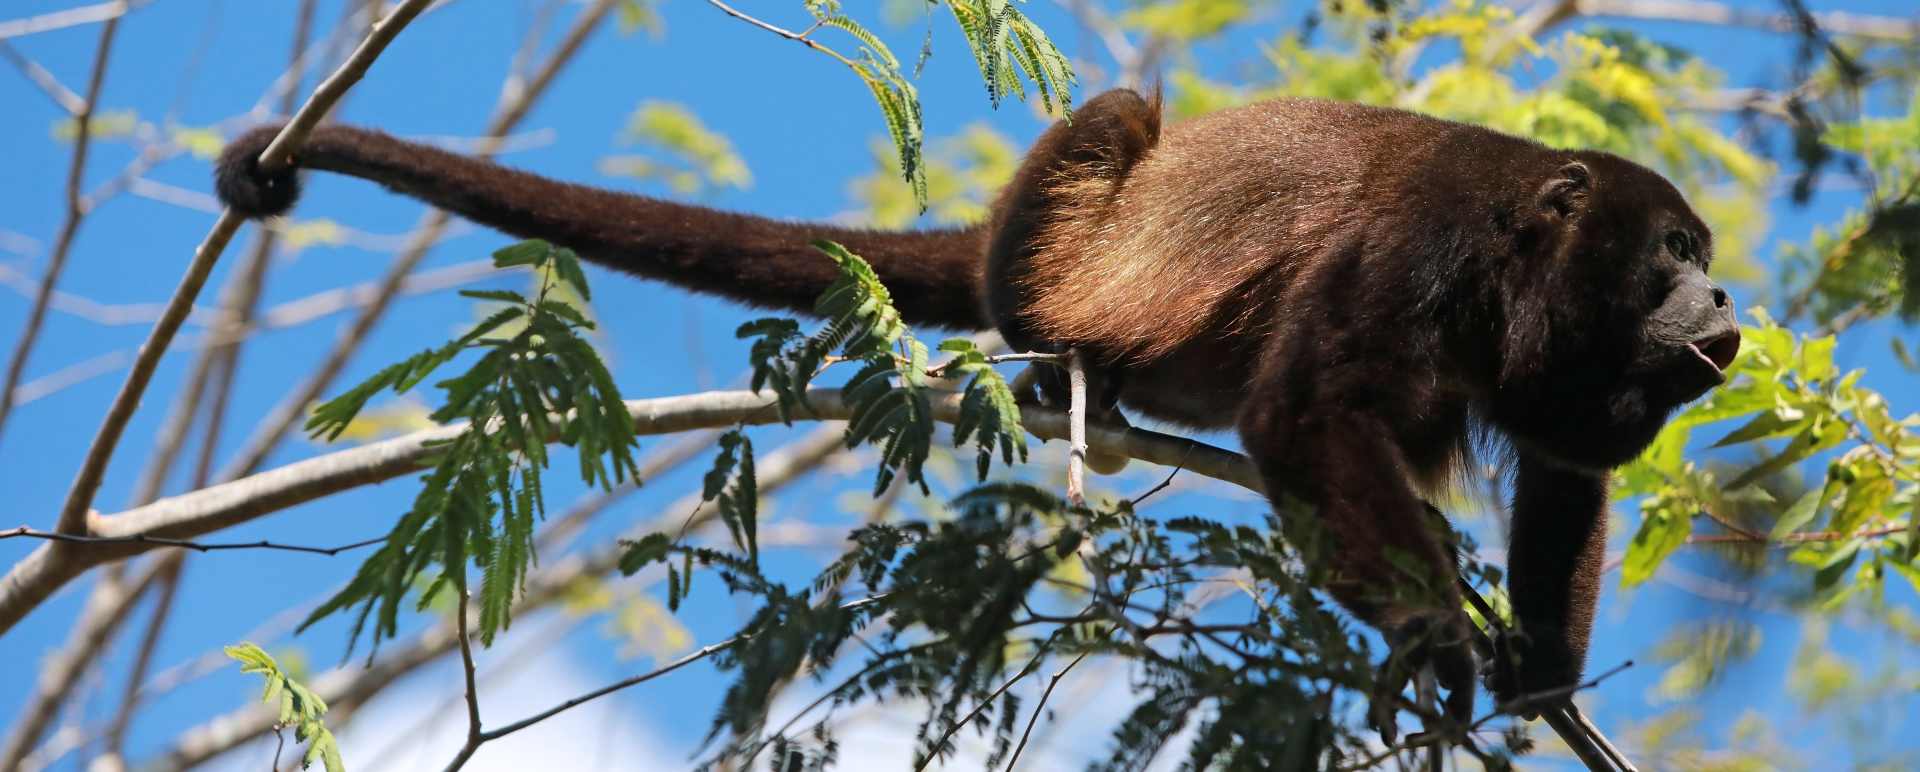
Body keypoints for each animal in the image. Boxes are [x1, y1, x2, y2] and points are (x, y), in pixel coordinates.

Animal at [214, 88, 1741, 728]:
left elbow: (1566, 461)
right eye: (1673, 255)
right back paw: (1060, 349)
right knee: (1116, 120)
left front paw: (1543, 669)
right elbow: (1308, 415)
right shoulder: (1414, 246)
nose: (1727, 302)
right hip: (1058, 221)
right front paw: (1433, 639)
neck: (1519, 242)